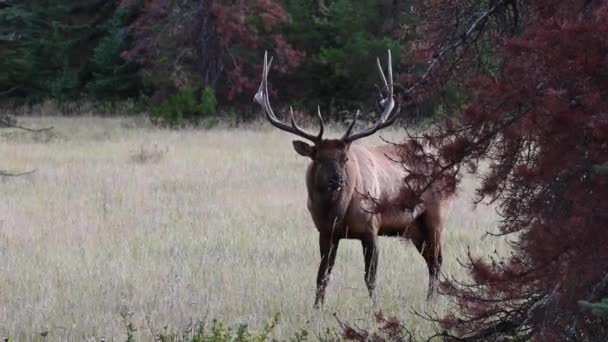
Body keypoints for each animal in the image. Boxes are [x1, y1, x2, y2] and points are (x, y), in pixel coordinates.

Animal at [254, 48, 454, 308]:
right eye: (318, 158)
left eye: (345, 158)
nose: (337, 181)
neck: (338, 213)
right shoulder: (326, 233)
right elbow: (322, 275)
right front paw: (316, 308)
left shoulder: (371, 228)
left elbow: (370, 277)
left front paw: (374, 308)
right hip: (414, 227)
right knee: (431, 260)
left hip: (436, 215)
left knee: (437, 260)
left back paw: (431, 302)